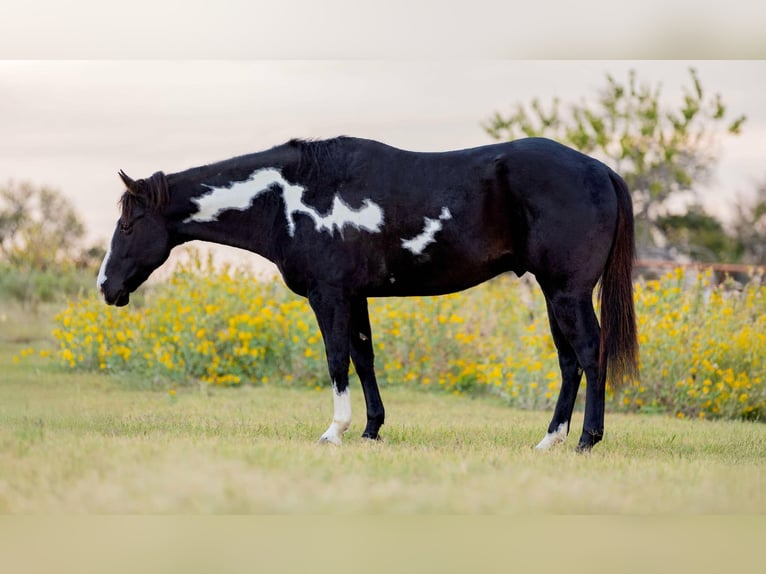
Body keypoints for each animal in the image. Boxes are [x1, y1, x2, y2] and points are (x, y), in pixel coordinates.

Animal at [100, 137, 640, 452]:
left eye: (128, 225)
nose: (106, 287)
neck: (288, 197)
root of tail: (600, 169)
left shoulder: (329, 295)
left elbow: (336, 359)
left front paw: (333, 431)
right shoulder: (355, 297)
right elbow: (364, 358)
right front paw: (371, 429)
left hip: (567, 292)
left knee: (590, 354)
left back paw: (587, 440)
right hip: (554, 294)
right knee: (569, 362)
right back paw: (550, 440)